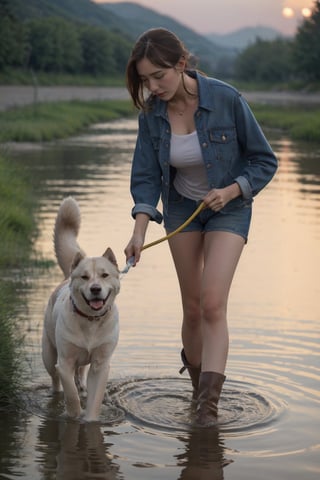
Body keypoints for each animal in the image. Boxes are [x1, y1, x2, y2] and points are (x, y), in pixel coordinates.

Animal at [42, 197, 120, 422]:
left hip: (84, 362)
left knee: (81, 374)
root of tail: (66, 276)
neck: (90, 321)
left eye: (104, 275)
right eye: (84, 277)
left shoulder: (101, 364)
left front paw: (90, 418)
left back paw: (83, 387)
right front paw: (74, 416)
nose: (95, 289)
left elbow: (95, 398)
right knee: (55, 379)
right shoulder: (65, 362)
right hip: (48, 355)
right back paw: (56, 392)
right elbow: (71, 394)